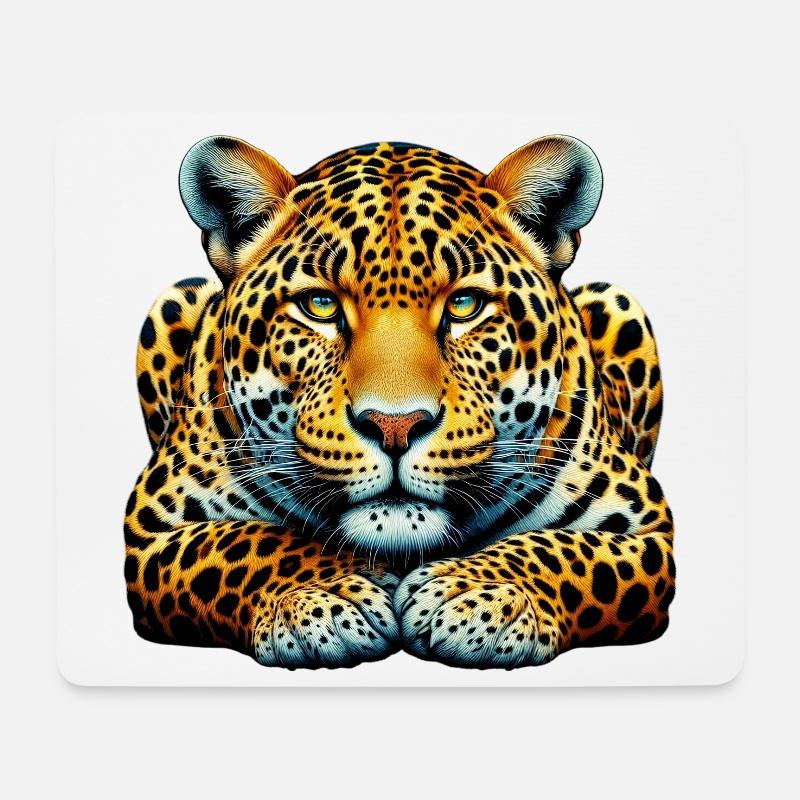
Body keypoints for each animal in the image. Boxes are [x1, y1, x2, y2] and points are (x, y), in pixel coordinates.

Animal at [124, 133, 675, 669]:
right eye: (319, 305)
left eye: (464, 304)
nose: (395, 426)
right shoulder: (149, 530)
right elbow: (246, 541)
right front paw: (329, 595)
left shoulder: (650, 531)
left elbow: (563, 550)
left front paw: (480, 595)